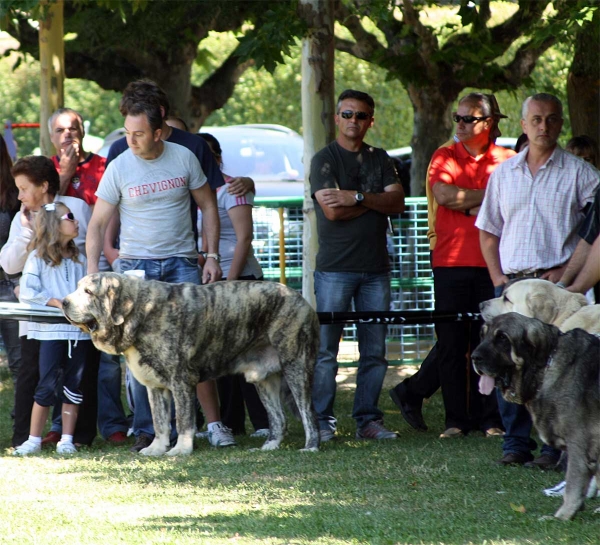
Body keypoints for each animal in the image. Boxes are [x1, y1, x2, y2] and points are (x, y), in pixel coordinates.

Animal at [62, 272, 322, 454]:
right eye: (77, 288)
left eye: (88, 291)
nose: (63, 302)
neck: (140, 311)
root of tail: (300, 298)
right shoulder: (155, 387)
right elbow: (160, 423)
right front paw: (156, 449)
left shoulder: (182, 381)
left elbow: (184, 420)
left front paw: (180, 450)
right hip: (263, 381)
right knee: (279, 418)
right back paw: (269, 446)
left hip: (296, 368)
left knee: (309, 413)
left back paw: (310, 446)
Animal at [474, 310, 600, 520]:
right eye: (483, 335)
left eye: (502, 338)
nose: (474, 358)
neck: (546, 365)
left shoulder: (579, 445)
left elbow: (573, 484)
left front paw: (562, 515)